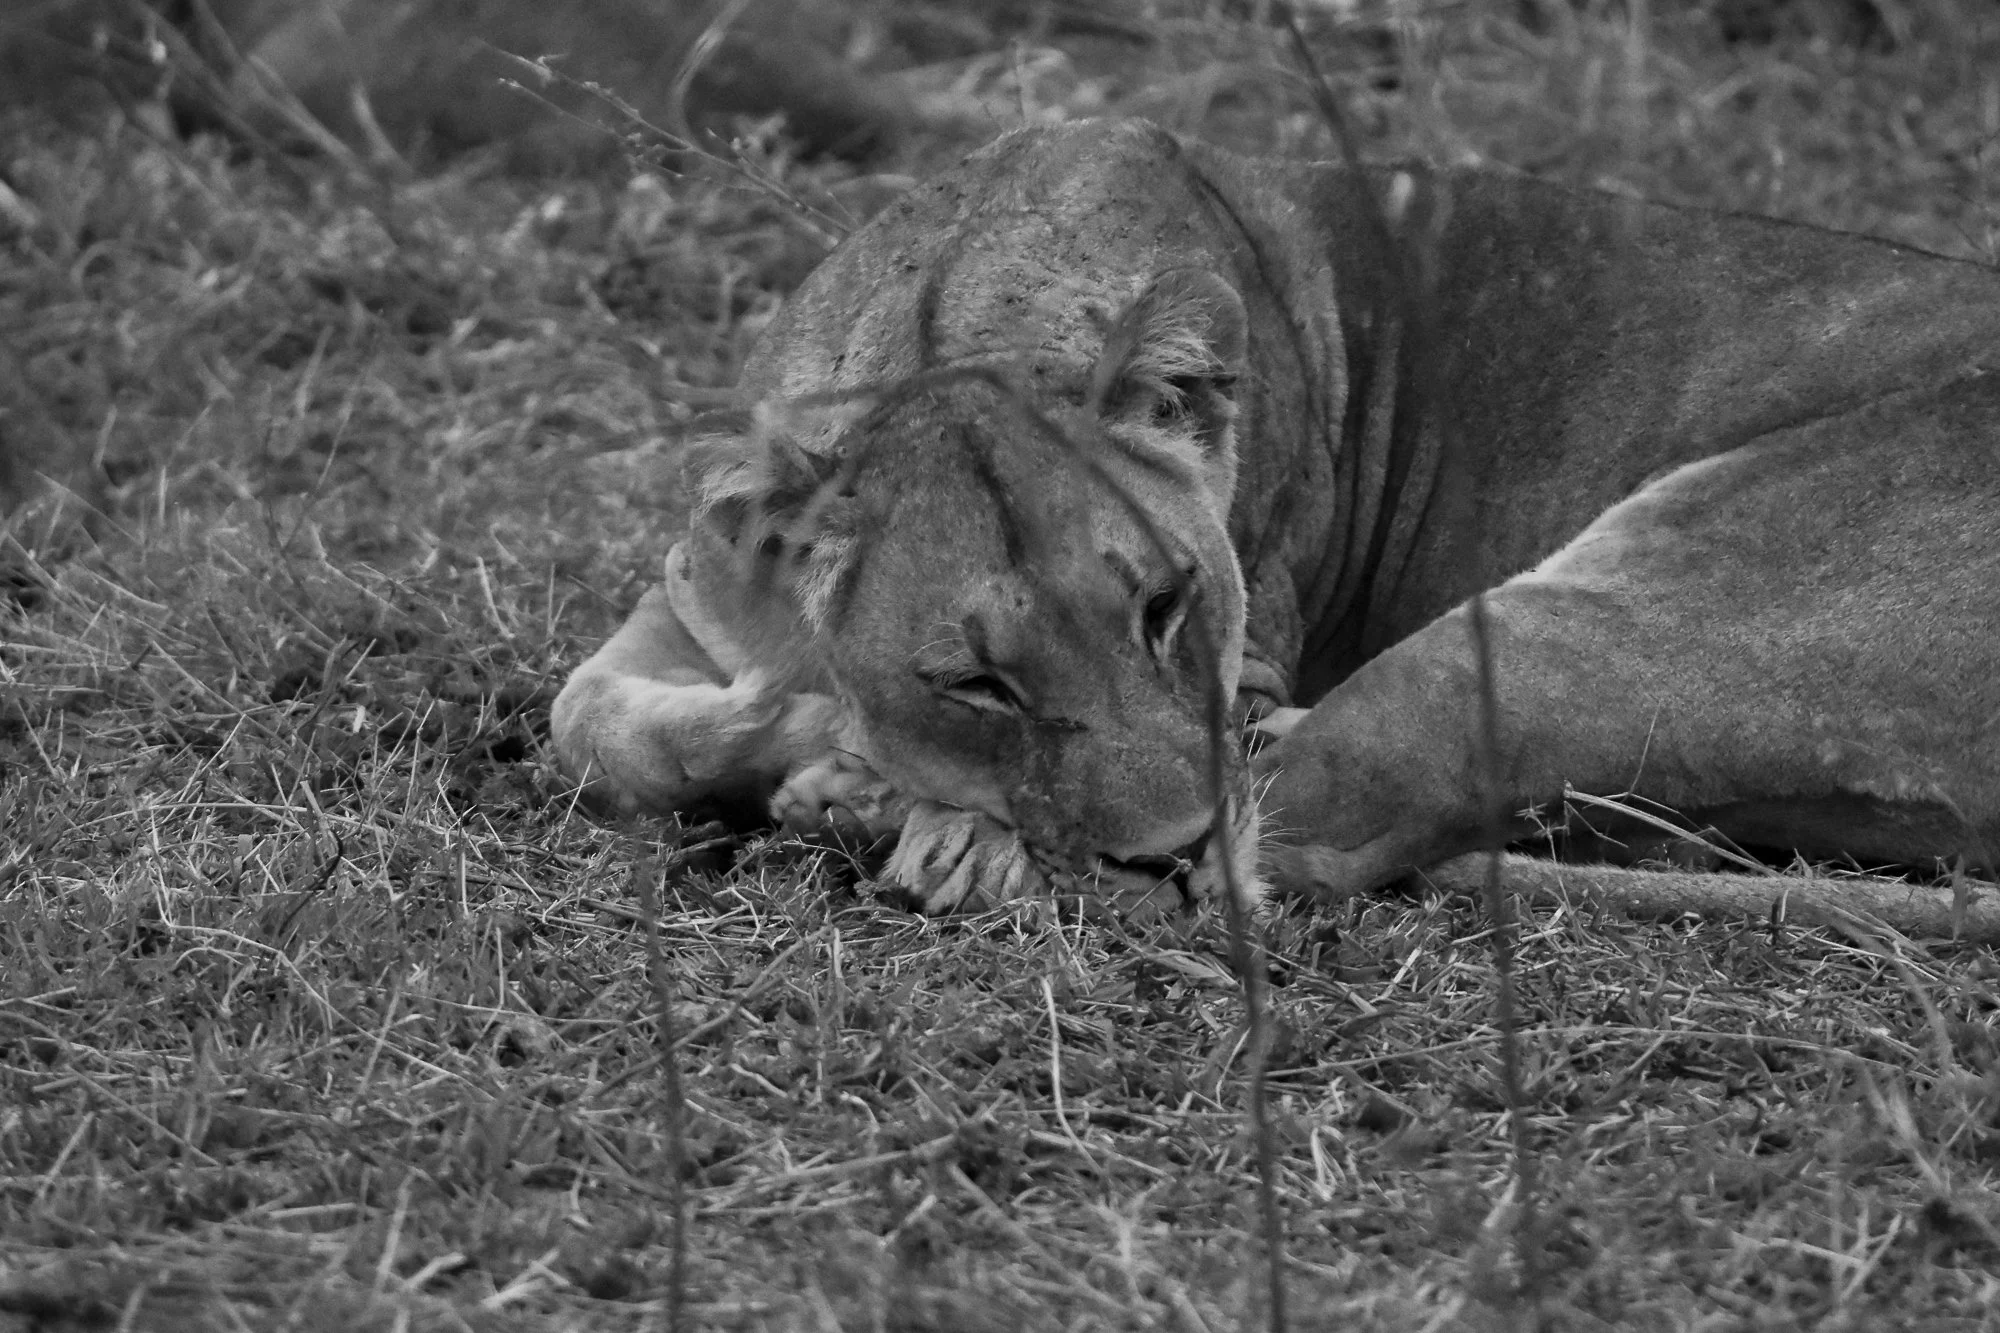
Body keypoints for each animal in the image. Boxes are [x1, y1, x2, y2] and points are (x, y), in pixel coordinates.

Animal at [552, 117, 2000, 914]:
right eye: (975, 680)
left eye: (1162, 605)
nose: (1170, 857)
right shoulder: (691, 596)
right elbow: (588, 720)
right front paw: (800, 737)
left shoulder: (1252, 655)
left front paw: (880, 787)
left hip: (1559, 628)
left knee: (1315, 812)